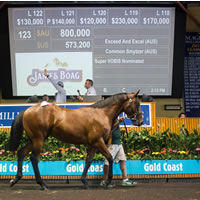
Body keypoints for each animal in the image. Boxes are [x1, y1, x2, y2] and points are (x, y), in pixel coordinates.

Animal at [8, 90, 142, 189]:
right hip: (38, 139)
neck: (101, 114)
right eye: (137, 104)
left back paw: (15, 179)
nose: (140, 121)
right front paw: (108, 181)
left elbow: (89, 160)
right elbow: (109, 157)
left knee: (21, 153)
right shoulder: (98, 141)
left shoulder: (92, 144)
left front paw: (84, 181)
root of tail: (27, 110)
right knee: (34, 158)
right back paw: (42, 183)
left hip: (33, 139)